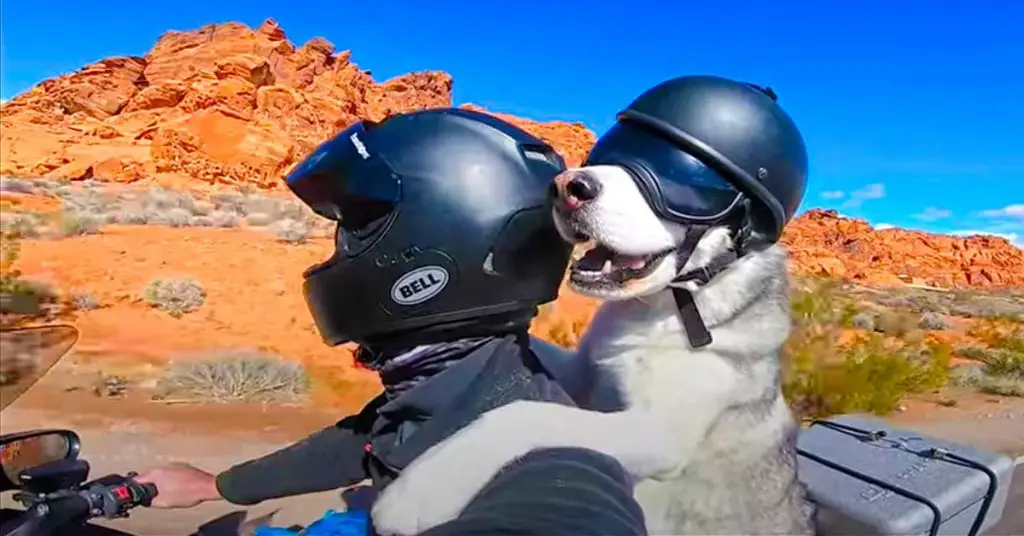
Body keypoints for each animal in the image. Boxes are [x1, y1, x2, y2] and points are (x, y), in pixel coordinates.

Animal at [376, 76, 815, 536]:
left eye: (682, 179)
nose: (567, 187)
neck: (665, 309)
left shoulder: (657, 433)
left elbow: (527, 413)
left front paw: (426, 484)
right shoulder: (585, 371)